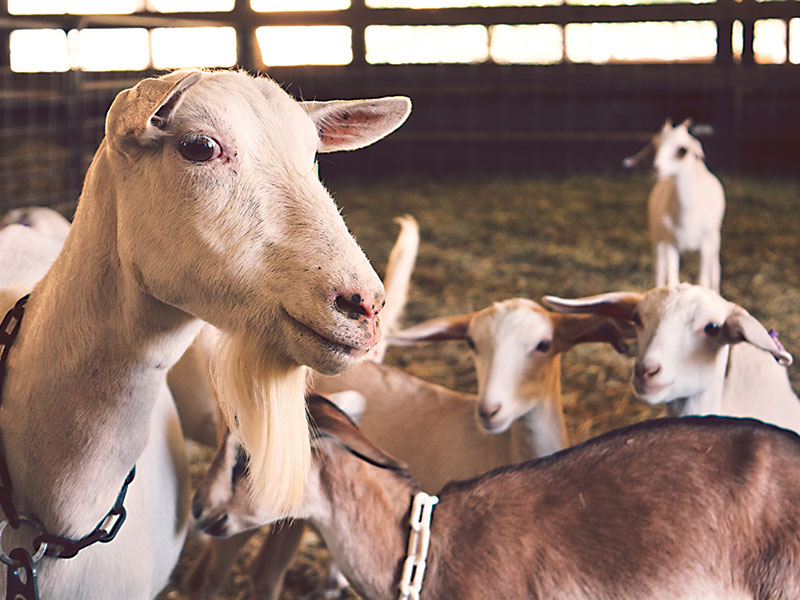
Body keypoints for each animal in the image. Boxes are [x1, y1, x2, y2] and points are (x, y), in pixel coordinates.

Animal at [628, 118, 728, 292]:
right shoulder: (670, 244)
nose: (656, 168)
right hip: (658, 238)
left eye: (682, 149)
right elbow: (672, 281)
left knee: (715, 271)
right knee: (659, 271)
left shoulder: (706, 244)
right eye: (655, 145)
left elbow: (703, 281)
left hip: (715, 239)